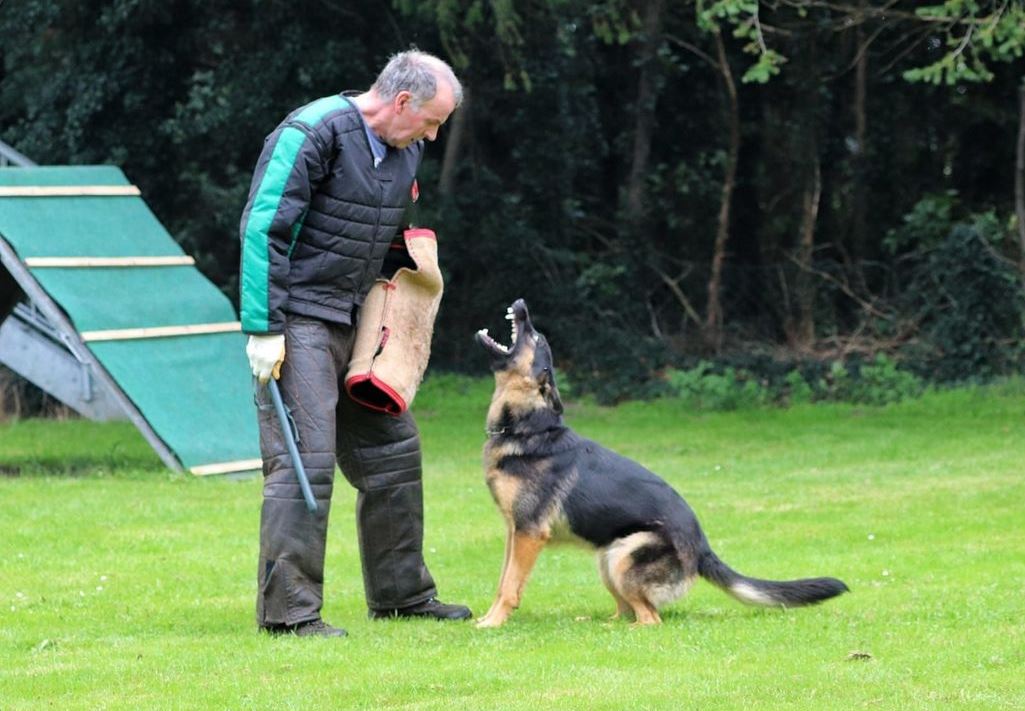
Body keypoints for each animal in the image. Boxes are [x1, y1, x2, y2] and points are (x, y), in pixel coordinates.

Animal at [471, 301, 848, 631]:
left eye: (536, 338)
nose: (521, 304)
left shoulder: (529, 533)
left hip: (623, 556)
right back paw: (598, 622)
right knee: (628, 610)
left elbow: (510, 585)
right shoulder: (514, 531)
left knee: (650, 618)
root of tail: (702, 548)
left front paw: (494, 623)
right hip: (607, 559)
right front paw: (487, 617)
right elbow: (502, 580)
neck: (528, 427)